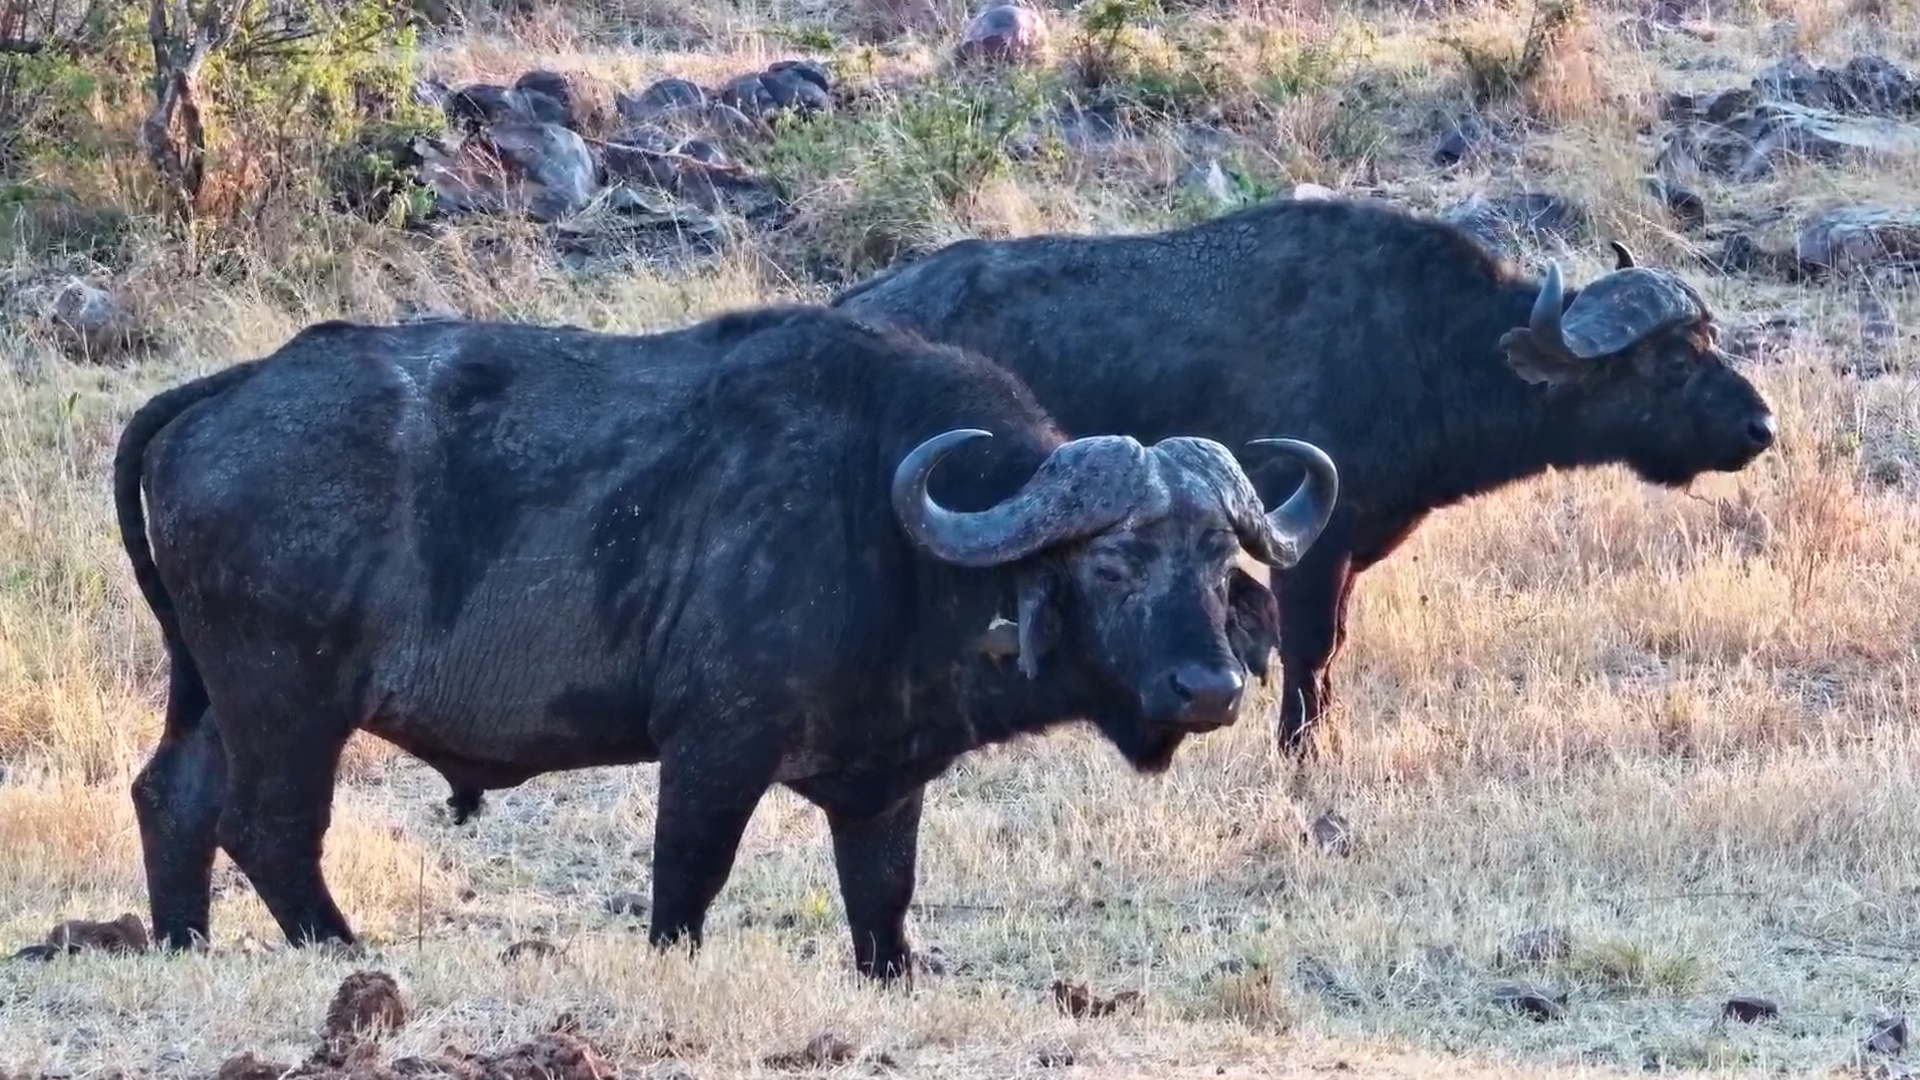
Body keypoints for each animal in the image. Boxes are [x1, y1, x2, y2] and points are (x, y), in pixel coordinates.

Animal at [113, 305, 1338, 980]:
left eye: (1213, 563)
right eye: (1113, 564)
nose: (1209, 688)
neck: (880, 523)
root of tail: (230, 391)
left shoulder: (887, 787)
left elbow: (883, 908)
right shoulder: (713, 751)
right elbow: (686, 887)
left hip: (213, 692)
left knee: (173, 796)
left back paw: (183, 943)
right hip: (291, 700)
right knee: (268, 826)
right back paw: (341, 948)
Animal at [831, 196, 1777, 756]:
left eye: (1709, 342)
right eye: (1674, 362)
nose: (1760, 426)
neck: (1427, 345)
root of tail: (863, 304)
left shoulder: (1348, 550)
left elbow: (1329, 650)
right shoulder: (1308, 551)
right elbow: (1307, 648)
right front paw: (1300, 751)